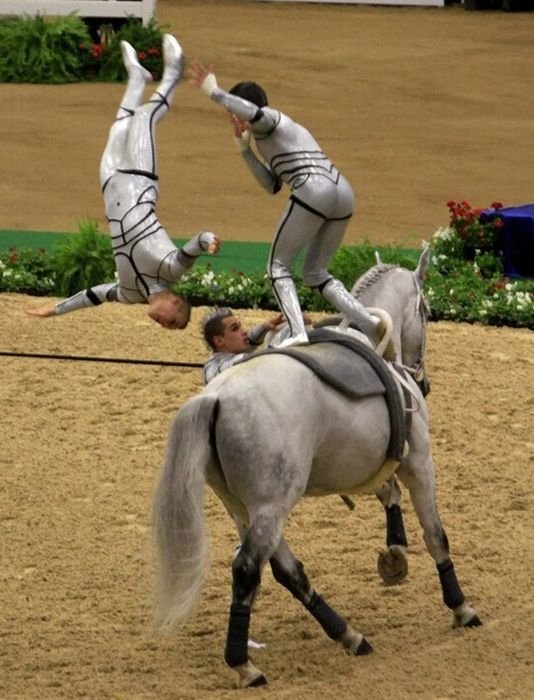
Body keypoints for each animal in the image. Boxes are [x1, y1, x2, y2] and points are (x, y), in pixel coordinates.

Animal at [152, 247, 482, 688]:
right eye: (427, 311)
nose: (423, 382)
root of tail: (214, 399)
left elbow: (387, 491)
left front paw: (394, 554)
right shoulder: (419, 462)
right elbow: (436, 534)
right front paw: (460, 607)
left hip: (244, 509)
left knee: (287, 570)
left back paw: (348, 635)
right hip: (271, 506)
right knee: (248, 569)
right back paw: (245, 664)